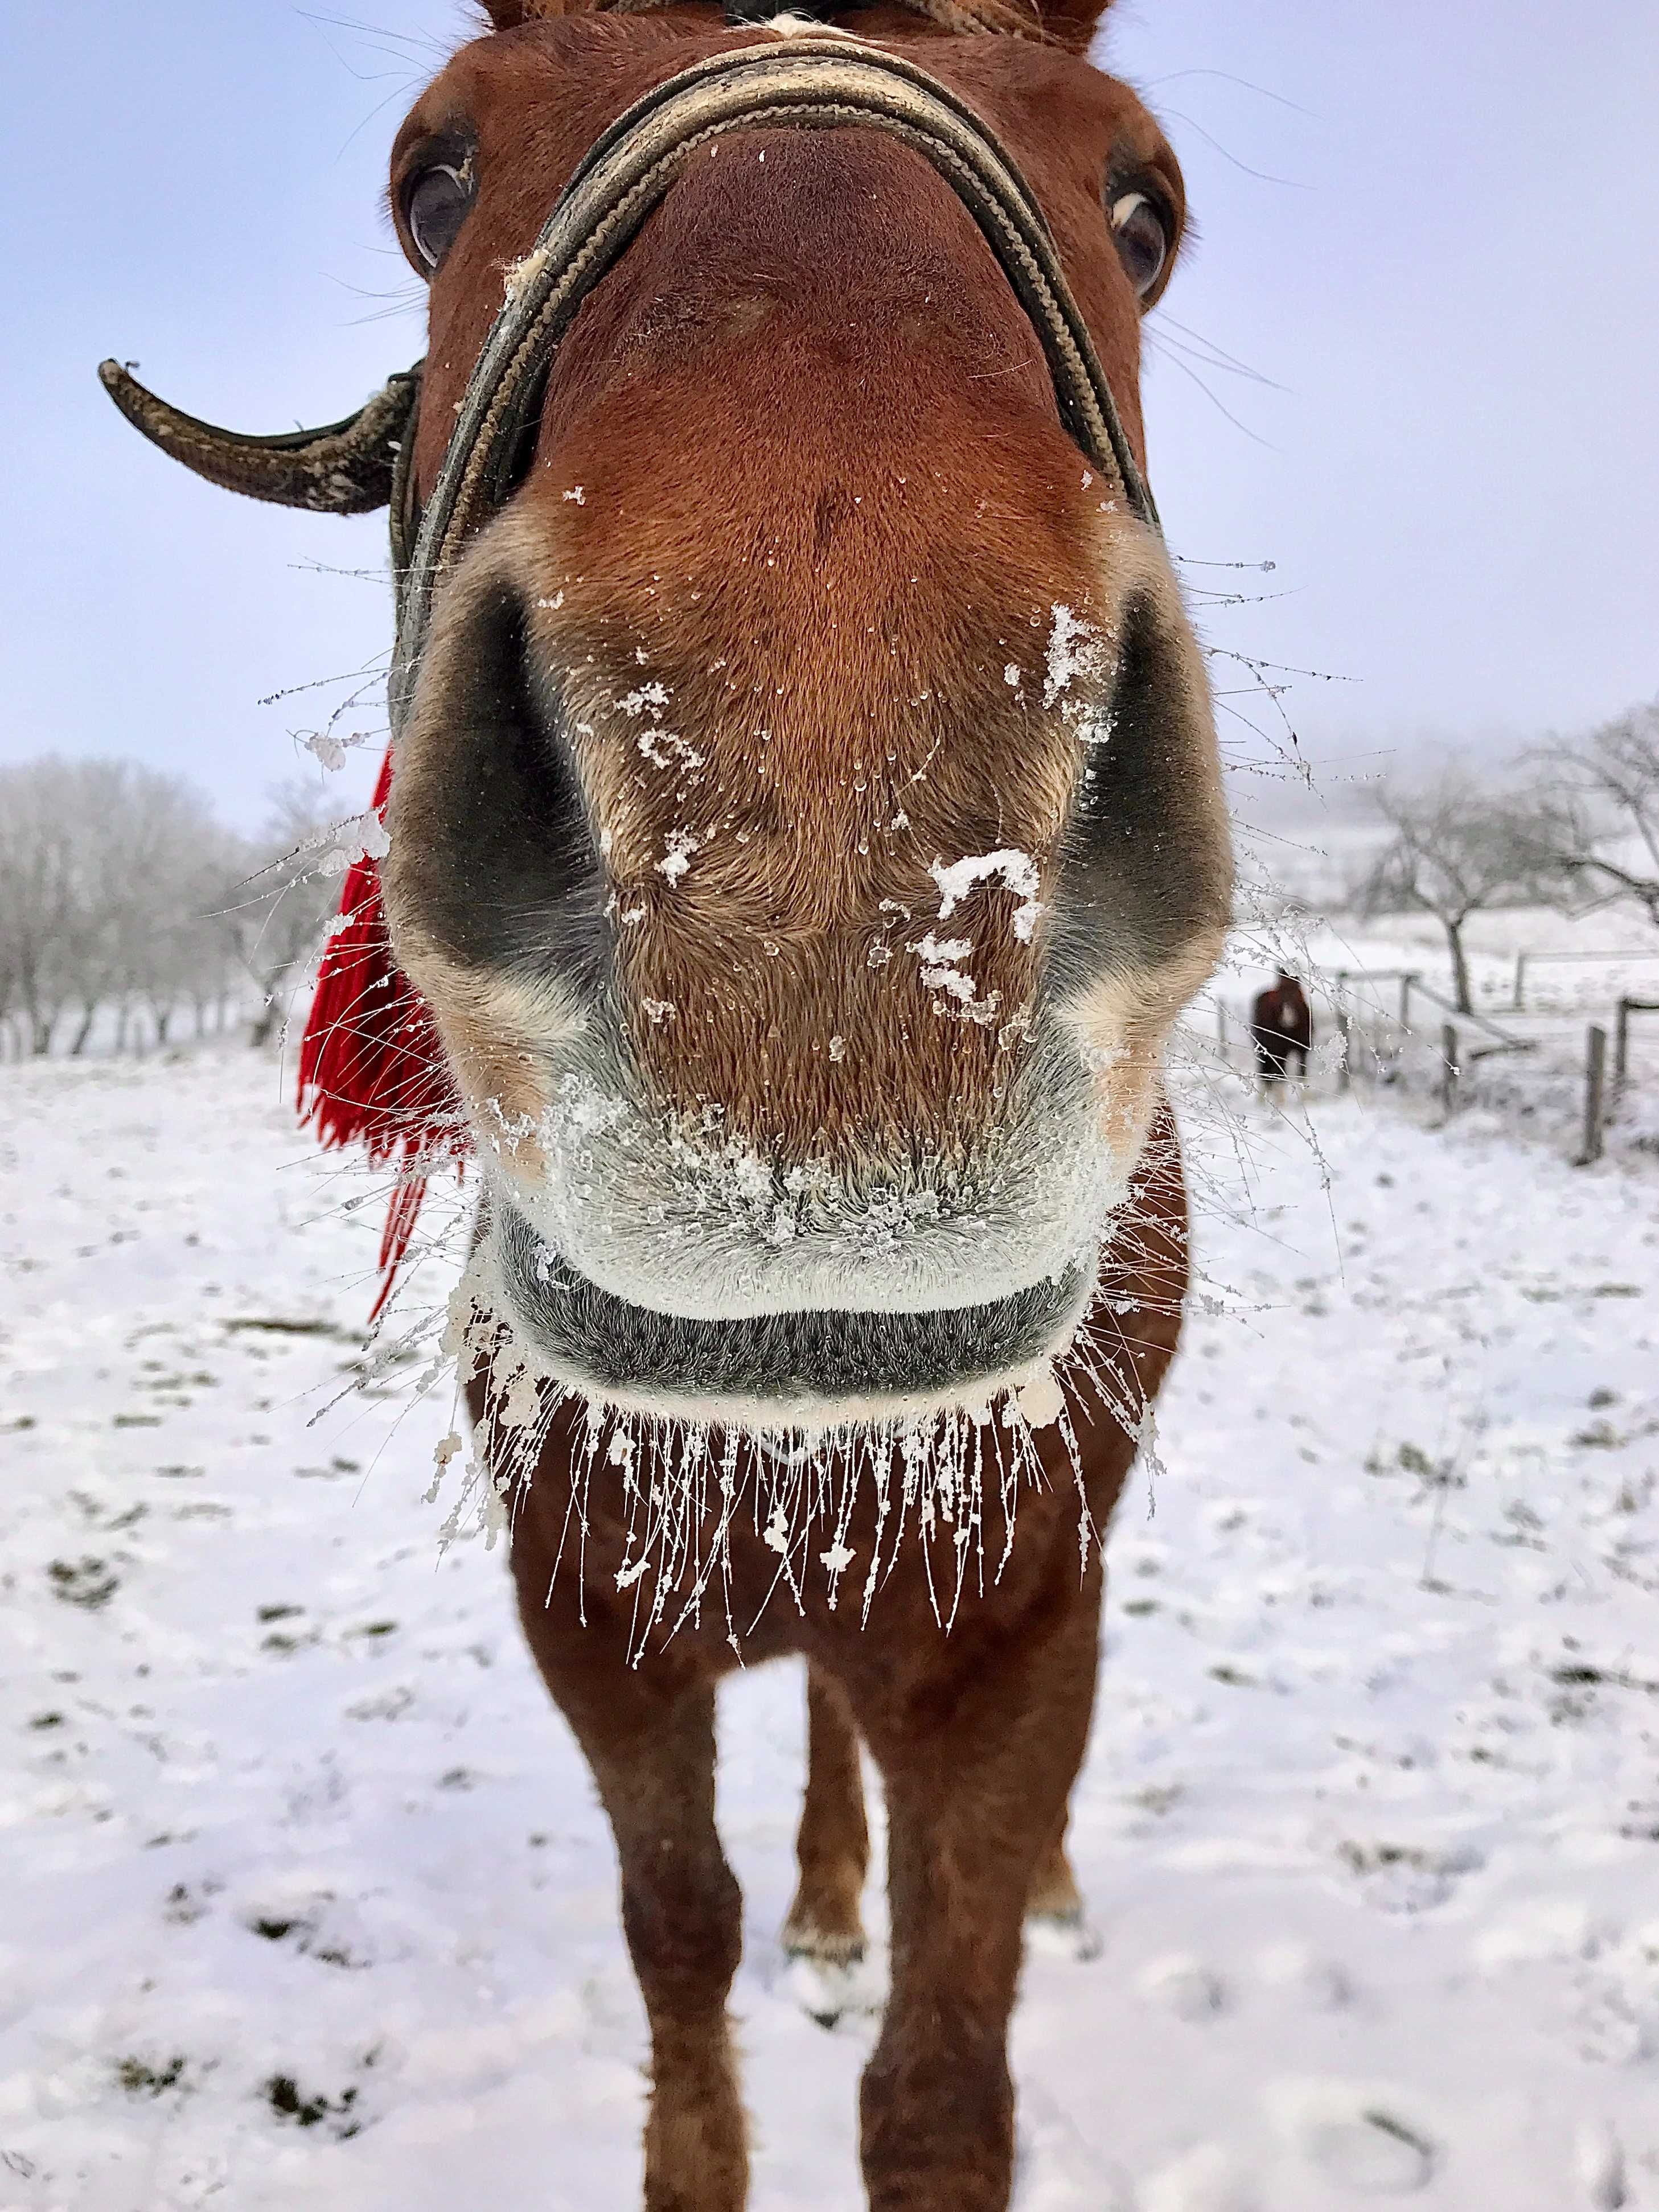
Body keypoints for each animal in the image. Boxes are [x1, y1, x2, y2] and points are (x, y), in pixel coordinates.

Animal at [100, 0, 1238, 2203]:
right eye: (433, 172)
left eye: (1143, 207)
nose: (814, 935)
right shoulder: (593, 1616)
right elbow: (677, 1924)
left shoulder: (1007, 1634)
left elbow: (942, 2078)